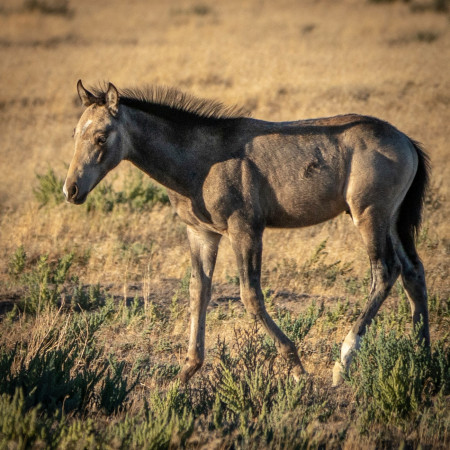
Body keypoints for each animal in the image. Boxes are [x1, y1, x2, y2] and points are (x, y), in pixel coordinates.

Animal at [63, 80, 428, 384]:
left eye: (101, 136)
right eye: (75, 133)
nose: (71, 190)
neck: (202, 159)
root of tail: (406, 141)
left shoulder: (245, 231)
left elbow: (250, 296)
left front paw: (297, 368)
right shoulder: (201, 235)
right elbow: (198, 292)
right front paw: (185, 372)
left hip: (369, 216)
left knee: (385, 271)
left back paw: (344, 361)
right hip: (392, 220)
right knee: (413, 271)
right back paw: (420, 353)